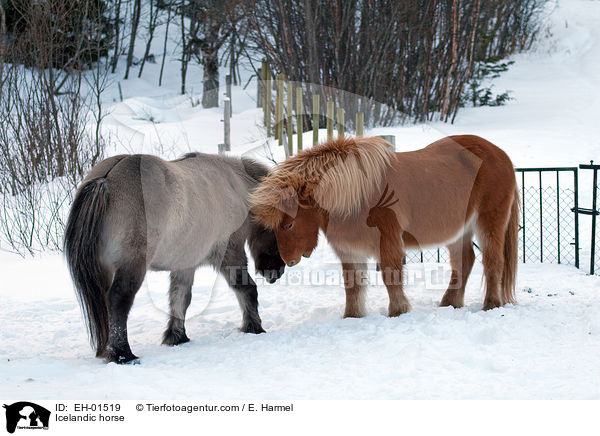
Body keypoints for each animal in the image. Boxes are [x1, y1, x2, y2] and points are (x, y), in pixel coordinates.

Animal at [64, 152, 284, 362]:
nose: (277, 271)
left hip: (105, 270)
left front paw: (176, 336)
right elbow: (246, 289)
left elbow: (180, 297)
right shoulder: (230, 253)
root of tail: (106, 180)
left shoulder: (185, 264)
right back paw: (122, 354)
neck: (234, 184)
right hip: (132, 266)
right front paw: (253, 327)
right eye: (284, 225)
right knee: (118, 300)